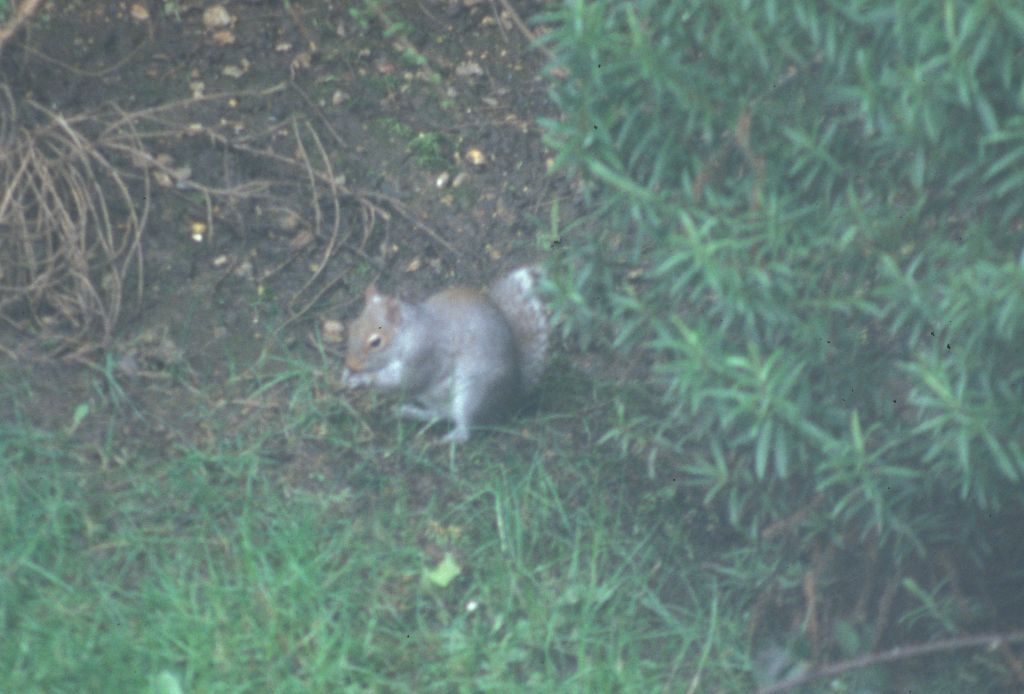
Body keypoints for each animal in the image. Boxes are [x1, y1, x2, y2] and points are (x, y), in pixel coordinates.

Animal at [342, 266, 549, 443]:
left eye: (376, 342)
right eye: (353, 326)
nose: (351, 364)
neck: (408, 333)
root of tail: (512, 394)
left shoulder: (424, 354)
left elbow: (404, 381)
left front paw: (365, 378)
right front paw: (348, 376)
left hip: (473, 396)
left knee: (465, 430)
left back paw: (446, 440)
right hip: (434, 400)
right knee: (439, 415)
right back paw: (410, 412)